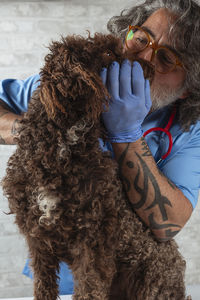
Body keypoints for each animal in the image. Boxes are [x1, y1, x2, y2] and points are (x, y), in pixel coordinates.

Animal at [2, 32, 191, 298]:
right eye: (109, 54)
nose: (151, 68)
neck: (62, 148)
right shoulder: (37, 238)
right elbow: (43, 284)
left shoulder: (93, 243)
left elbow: (89, 288)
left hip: (152, 278)